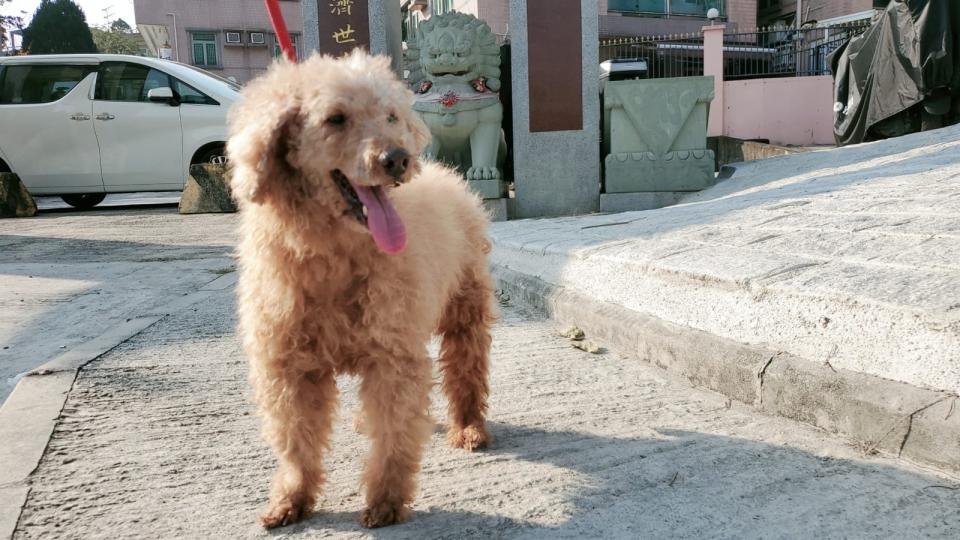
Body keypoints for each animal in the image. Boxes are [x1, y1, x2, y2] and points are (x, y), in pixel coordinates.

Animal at [226, 51, 496, 532]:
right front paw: (292, 498)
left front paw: (386, 500)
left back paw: (469, 427)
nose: (397, 159)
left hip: (465, 306)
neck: (334, 253)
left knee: (467, 369)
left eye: (390, 116)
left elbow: (393, 432)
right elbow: (296, 439)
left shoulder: (393, 355)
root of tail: (449, 176)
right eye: (335, 118)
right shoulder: (288, 366)